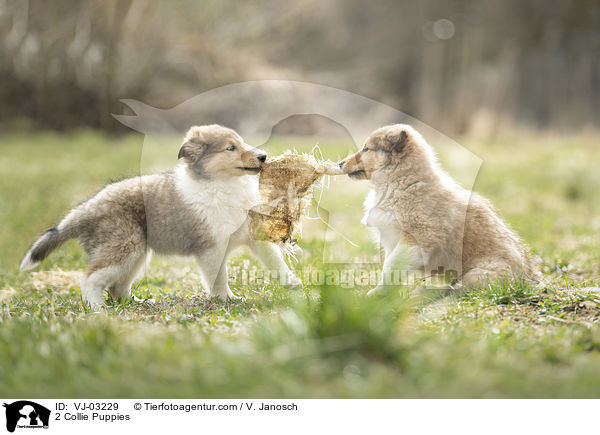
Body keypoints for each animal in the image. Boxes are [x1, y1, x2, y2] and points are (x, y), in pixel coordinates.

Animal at [21, 124, 302, 308]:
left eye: (240, 142)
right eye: (230, 148)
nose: (263, 157)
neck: (222, 184)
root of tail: (86, 208)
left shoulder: (254, 236)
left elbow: (276, 262)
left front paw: (293, 283)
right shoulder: (211, 247)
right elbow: (218, 277)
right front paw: (227, 300)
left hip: (137, 255)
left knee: (117, 287)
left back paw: (139, 302)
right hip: (123, 247)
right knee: (90, 278)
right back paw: (97, 309)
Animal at [338, 126, 540, 296]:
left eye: (366, 149)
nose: (340, 163)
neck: (402, 181)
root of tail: (528, 280)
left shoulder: (417, 238)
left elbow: (391, 266)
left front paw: (377, 294)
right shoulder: (392, 240)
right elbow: (391, 268)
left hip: (477, 274)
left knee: (455, 291)